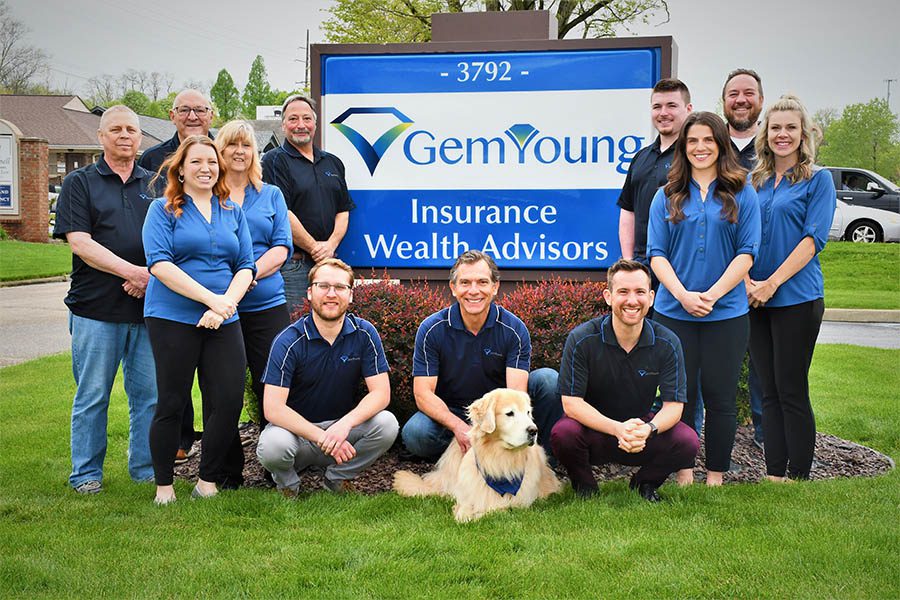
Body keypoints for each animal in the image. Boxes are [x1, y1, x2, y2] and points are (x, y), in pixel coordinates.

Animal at [392, 390, 560, 520]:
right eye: (510, 413)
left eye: (528, 413)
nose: (533, 430)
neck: (499, 461)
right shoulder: (470, 492)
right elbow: (465, 507)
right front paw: (463, 514)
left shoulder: (518, 503)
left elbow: (494, 510)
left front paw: (477, 514)